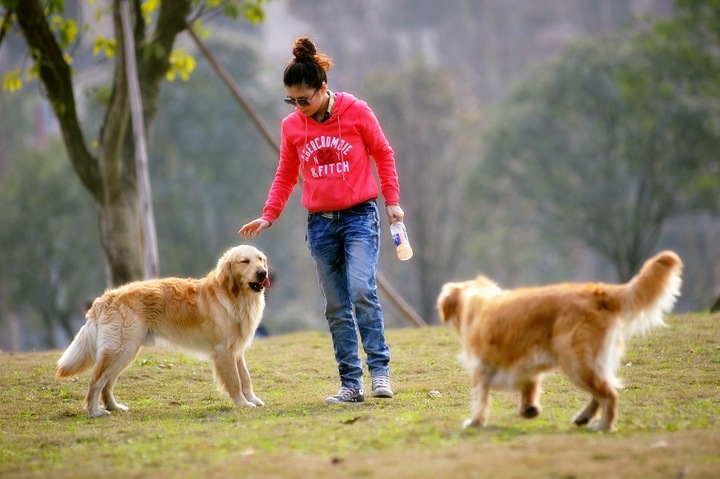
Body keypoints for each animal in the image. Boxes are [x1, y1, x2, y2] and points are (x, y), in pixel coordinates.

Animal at [56, 246, 270, 418]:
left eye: (260, 259)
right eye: (244, 261)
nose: (263, 273)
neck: (233, 296)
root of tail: (106, 298)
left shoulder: (236, 351)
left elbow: (245, 378)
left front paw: (252, 399)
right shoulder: (224, 351)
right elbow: (235, 381)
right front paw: (243, 403)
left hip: (126, 353)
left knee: (107, 384)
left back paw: (114, 407)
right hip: (121, 350)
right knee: (96, 381)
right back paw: (95, 412)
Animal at [436, 251, 684, 432]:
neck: (474, 299)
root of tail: (598, 291)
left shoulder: (481, 366)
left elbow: (480, 397)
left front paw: (475, 421)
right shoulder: (525, 363)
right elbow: (530, 384)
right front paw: (529, 408)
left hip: (575, 361)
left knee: (609, 394)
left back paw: (603, 426)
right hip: (591, 361)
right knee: (603, 391)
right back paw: (585, 418)